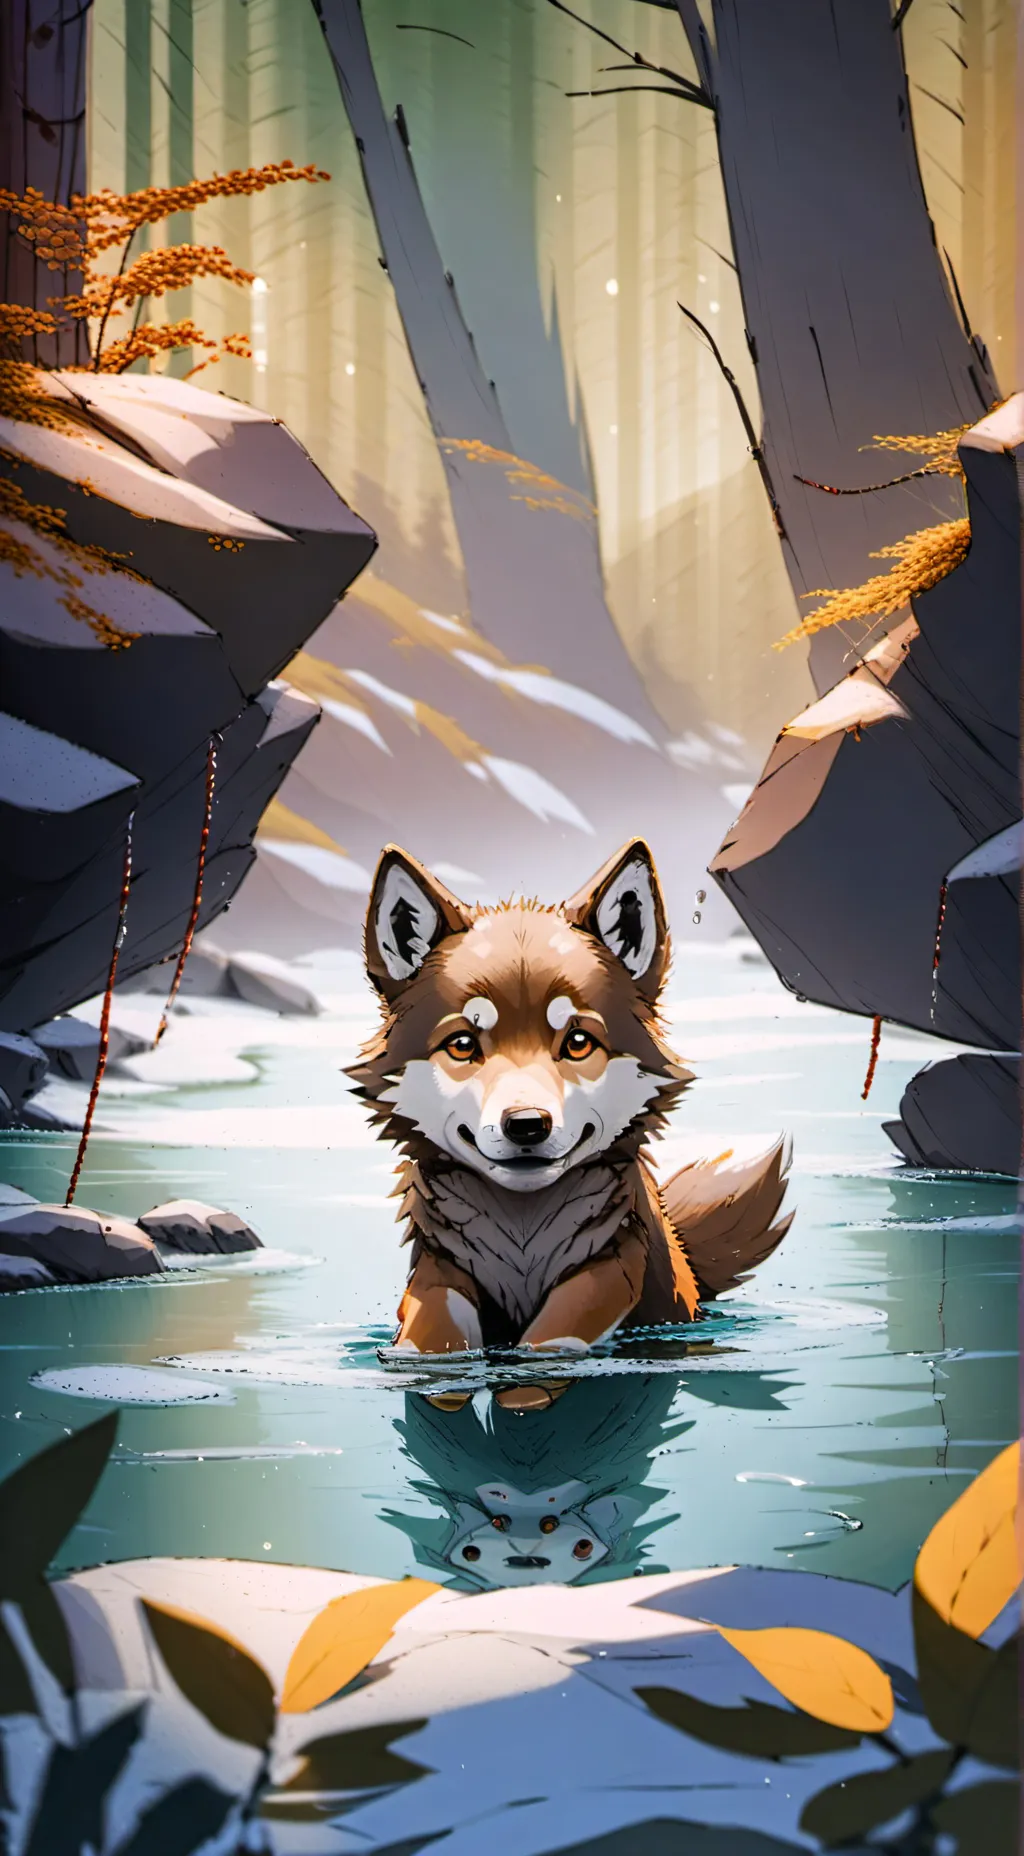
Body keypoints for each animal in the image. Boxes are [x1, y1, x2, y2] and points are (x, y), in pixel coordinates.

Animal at [349, 839, 792, 1375]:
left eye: (578, 1042)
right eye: (462, 1044)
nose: (526, 1125)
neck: (520, 1234)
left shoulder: (611, 1265)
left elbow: (551, 1342)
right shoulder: (441, 1270)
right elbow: (431, 1335)